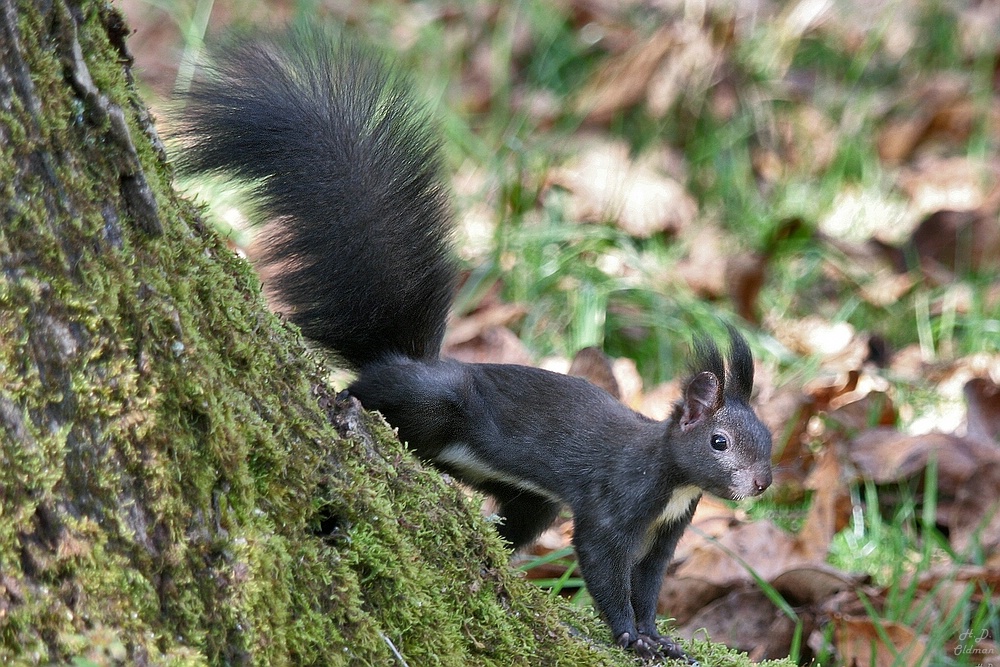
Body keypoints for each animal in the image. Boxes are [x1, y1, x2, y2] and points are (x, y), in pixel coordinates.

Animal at [178, 26, 772, 664]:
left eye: (767, 439)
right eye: (718, 441)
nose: (762, 482)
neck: (672, 480)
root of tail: (406, 362)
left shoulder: (667, 532)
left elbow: (648, 583)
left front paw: (659, 636)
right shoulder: (616, 505)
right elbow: (603, 566)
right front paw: (630, 636)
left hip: (519, 491)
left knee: (516, 518)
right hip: (429, 406)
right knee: (369, 392)